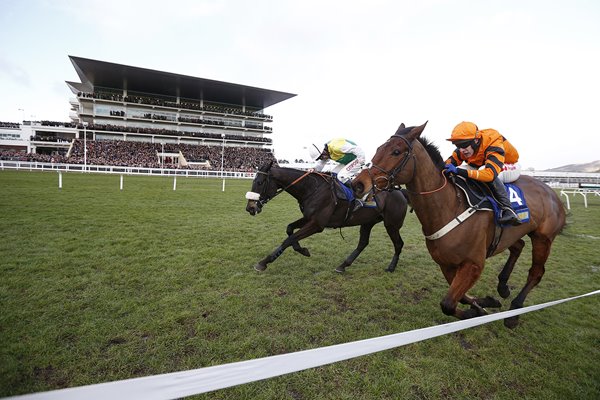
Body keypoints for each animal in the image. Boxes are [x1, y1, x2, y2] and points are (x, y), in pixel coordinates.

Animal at [354, 122, 564, 328]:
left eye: (396, 152)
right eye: (378, 149)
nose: (358, 184)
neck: (449, 207)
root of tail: (551, 192)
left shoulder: (473, 264)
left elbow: (448, 304)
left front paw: (475, 311)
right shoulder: (446, 264)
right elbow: (460, 298)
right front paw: (484, 304)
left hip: (543, 238)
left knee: (536, 272)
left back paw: (514, 311)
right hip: (511, 234)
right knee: (518, 246)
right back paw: (503, 287)